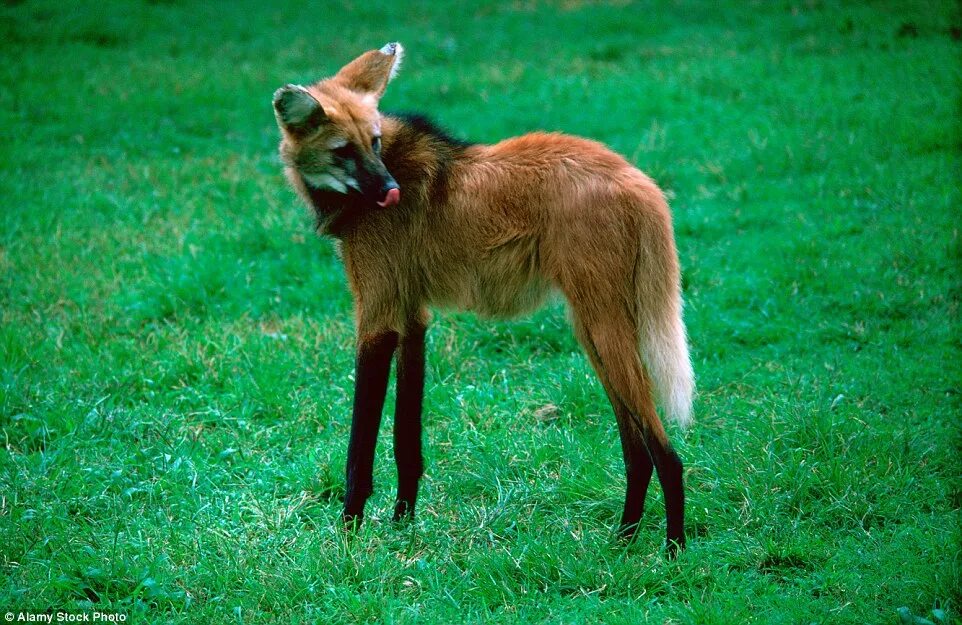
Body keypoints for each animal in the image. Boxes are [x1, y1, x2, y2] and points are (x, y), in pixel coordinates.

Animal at [270, 41, 688, 552]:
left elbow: (360, 448)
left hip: (603, 325)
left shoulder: (377, 317)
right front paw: (403, 525)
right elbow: (406, 438)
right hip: (592, 328)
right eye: (343, 150)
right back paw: (623, 539)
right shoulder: (413, 316)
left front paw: (349, 536)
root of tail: (641, 181)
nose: (390, 191)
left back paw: (673, 550)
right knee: (636, 447)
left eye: (373, 143)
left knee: (666, 454)